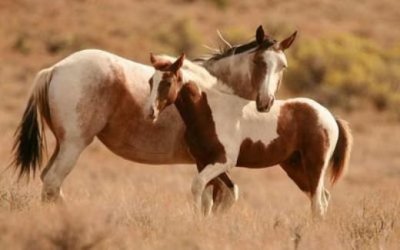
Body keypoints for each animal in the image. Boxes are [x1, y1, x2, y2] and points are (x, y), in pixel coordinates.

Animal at [11, 25, 296, 209]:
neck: (214, 92)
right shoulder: (210, 162)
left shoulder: (207, 164)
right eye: (259, 61)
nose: (266, 103)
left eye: (282, 66)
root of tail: (55, 69)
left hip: (62, 144)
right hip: (74, 144)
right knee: (52, 183)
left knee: (48, 182)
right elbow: (217, 199)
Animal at [148, 54, 354, 217]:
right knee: (321, 198)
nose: (150, 112)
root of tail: (329, 116)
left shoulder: (224, 161)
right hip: (295, 167)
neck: (210, 111)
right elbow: (218, 195)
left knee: (318, 203)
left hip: (315, 165)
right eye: (151, 81)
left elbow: (200, 186)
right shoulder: (203, 162)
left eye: (167, 82)